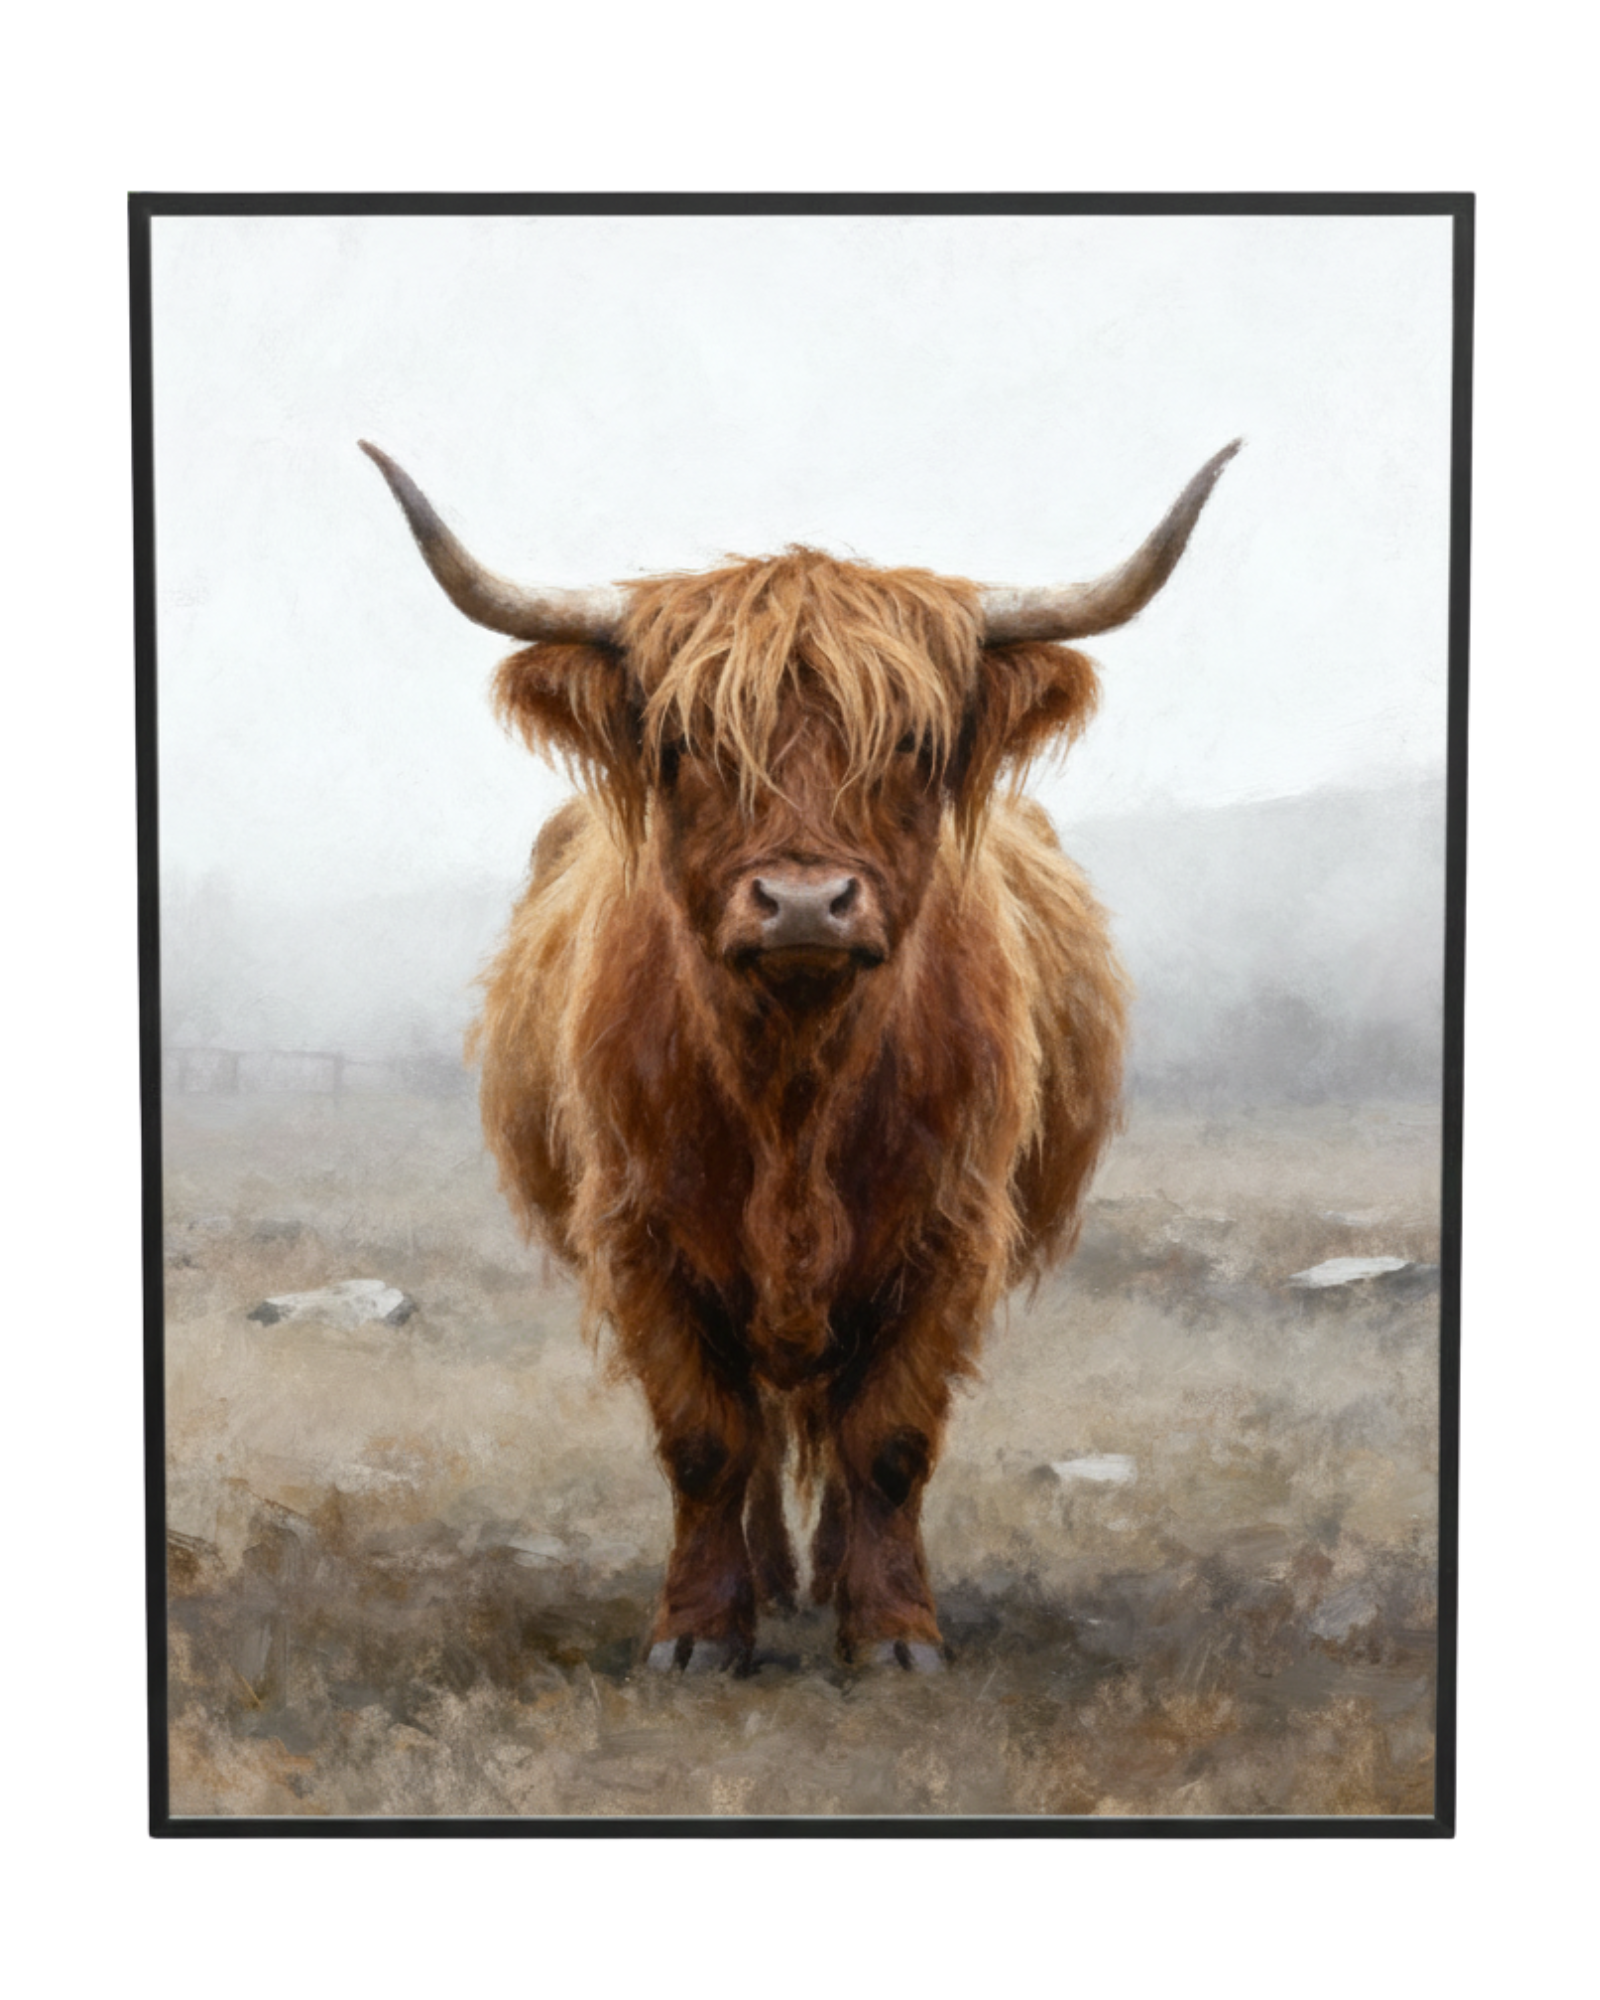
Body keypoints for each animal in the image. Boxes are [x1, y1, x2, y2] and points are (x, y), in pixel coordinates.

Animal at [362, 437, 1238, 1673]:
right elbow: (704, 1441)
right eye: (689, 744)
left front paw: (892, 1631)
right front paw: (697, 1633)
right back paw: (775, 1586)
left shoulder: (950, 1229)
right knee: (769, 1425)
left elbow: (888, 1440)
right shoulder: (640, 1233)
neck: (794, 1087)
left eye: (912, 743)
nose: (807, 902)